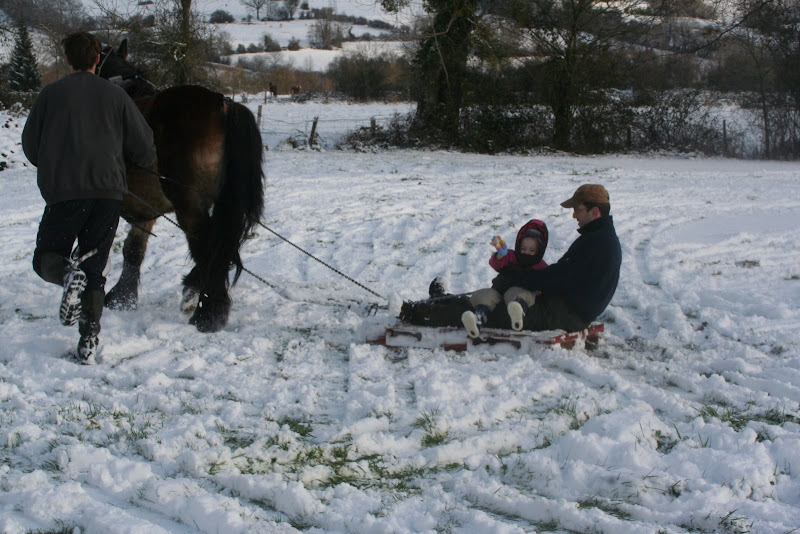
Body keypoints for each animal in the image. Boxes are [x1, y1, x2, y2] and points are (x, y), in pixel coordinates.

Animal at [97, 42, 266, 332]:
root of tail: (223, 105)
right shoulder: (145, 208)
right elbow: (134, 249)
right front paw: (123, 297)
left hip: (189, 205)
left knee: (206, 246)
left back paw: (207, 313)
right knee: (220, 244)